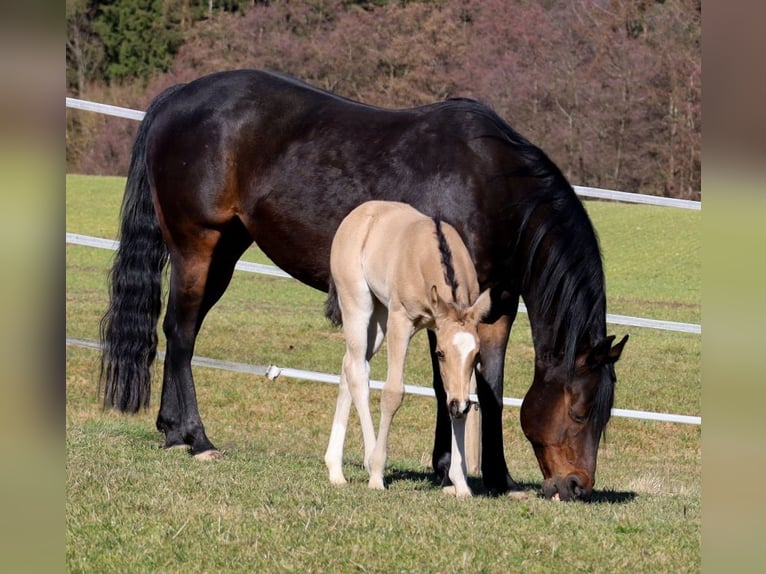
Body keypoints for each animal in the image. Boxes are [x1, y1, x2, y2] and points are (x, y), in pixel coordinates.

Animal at [323, 201, 492, 497]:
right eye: (441, 354)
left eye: (476, 356)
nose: (459, 406)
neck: (428, 255)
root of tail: (359, 214)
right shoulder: (401, 321)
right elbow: (393, 393)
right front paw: (377, 474)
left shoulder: (438, 328)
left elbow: (454, 396)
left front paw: (461, 484)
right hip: (359, 305)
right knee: (358, 373)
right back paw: (368, 459)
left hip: (379, 318)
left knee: (350, 365)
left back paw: (335, 470)